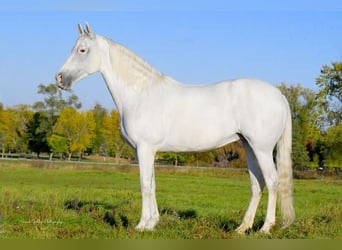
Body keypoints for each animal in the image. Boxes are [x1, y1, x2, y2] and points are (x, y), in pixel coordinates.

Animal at [55, 23, 294, 234]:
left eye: (82, 50)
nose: (59, 79)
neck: (141, 93)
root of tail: (279, 95)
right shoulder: (148, 151)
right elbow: (153, 184)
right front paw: (152, 223)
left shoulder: (144, 148)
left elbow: (145, 184)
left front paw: (141, 225)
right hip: (249, 146)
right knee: (257, 184)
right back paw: (242, 227)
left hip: (262, 149)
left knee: (272, 182)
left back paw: (265, 228)